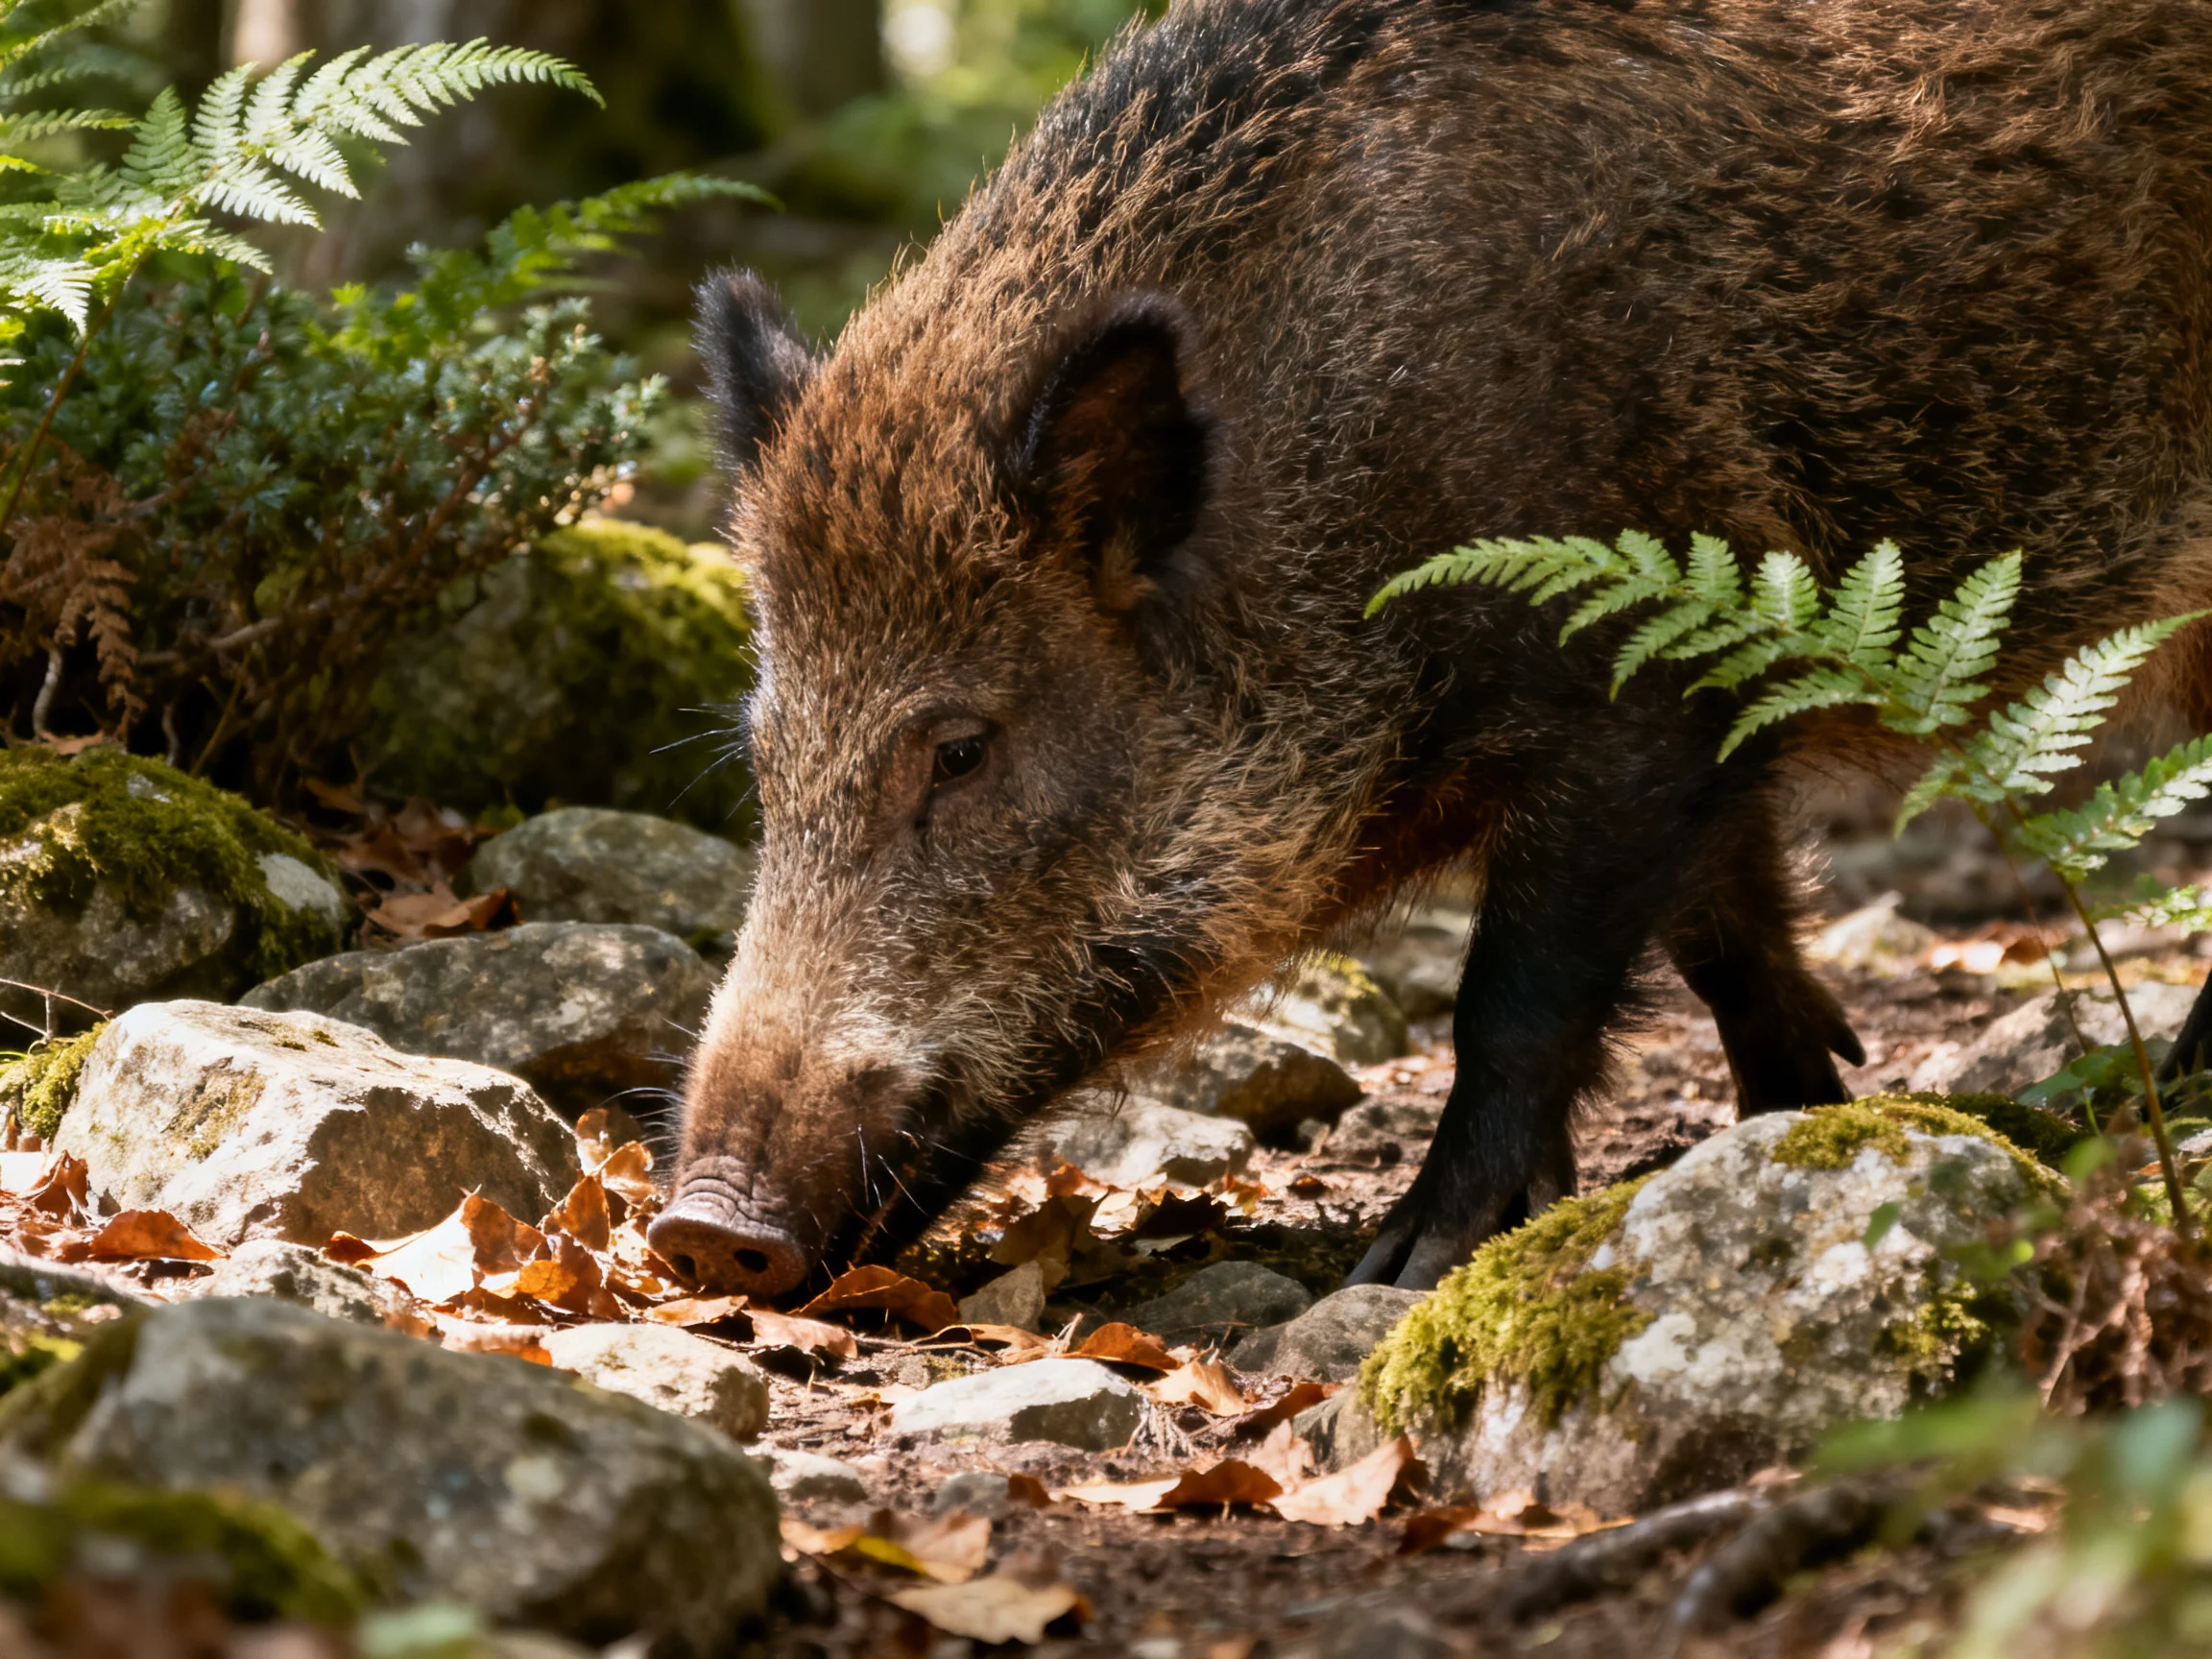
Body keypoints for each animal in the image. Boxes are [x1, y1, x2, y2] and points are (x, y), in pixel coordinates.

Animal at [648, 0, 2212, 1295]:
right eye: (763, 755)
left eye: (963, 750)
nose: (701, 1230)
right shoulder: (1703, 720)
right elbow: (1726, 935)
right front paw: (1806, 1122)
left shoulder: (1627, 703)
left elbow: (1515, 997)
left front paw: (1410, 1263)